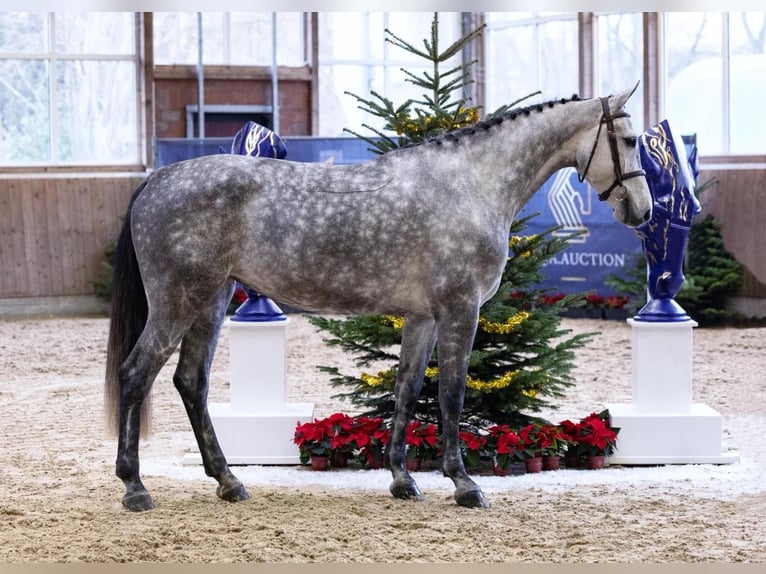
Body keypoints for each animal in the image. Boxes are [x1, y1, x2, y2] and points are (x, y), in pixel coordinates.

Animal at [105, 86, 651, 512]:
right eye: (628, 141)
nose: (644, 211)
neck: (470, 183)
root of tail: (158, 179)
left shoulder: (422, 317)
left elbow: (408, 390)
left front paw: (402, 478)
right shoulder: (461, 309)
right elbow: (452, 393)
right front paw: (464, 484)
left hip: (211, 300)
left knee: (190, 381)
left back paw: (228, 481)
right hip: (179, 301)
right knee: (136, 374)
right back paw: (135, 487)